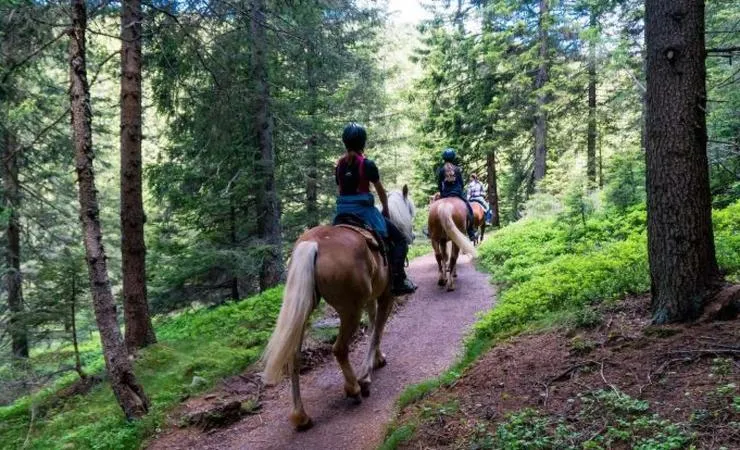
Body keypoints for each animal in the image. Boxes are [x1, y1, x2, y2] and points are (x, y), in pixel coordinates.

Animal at [261, 186, 416, 431]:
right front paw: (367, 373)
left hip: (304, 308)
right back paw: (354, 388)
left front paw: (377, 359)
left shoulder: (370, 298)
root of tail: (313, 244)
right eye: (410, 209)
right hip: (350, 310)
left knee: (294, 357)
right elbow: (378, 328)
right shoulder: (386, 296)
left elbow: (373, 323)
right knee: (339, 348)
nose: (413, 236)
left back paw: (301, 416)